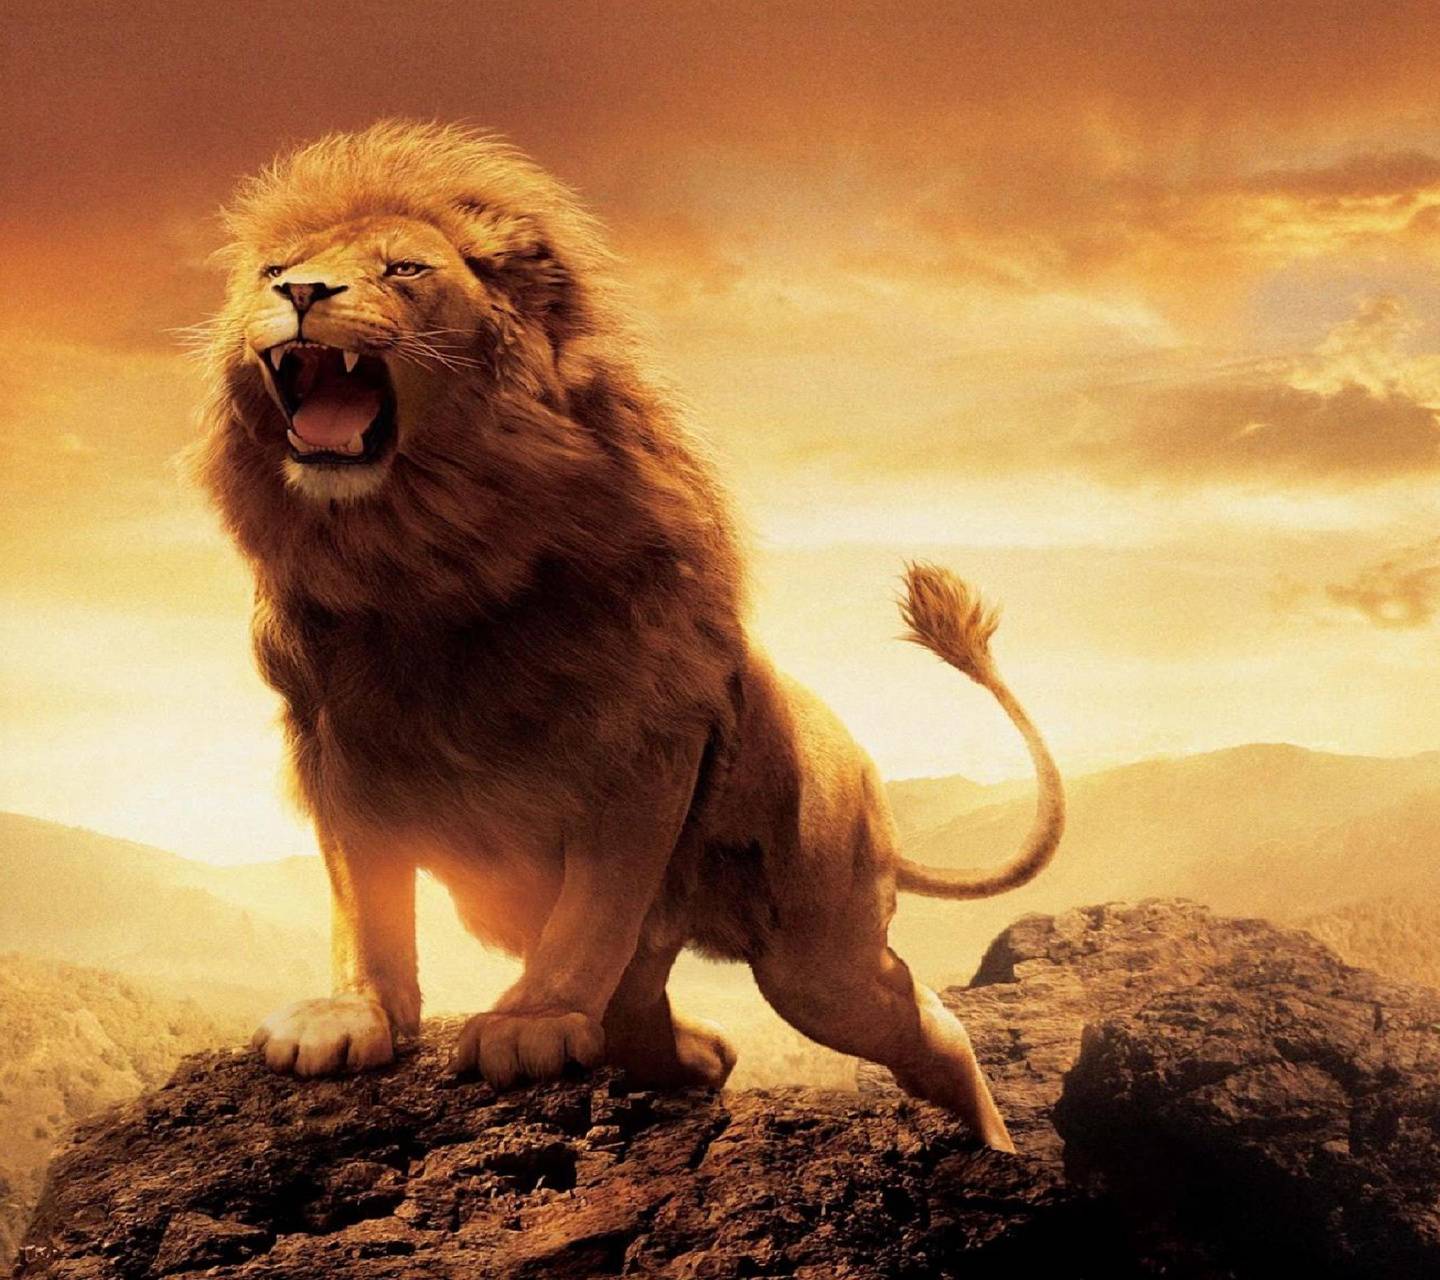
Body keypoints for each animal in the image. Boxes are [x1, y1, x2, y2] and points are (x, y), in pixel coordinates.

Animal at [193, 121, 1064, 1152]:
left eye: (404, 269)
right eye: (274, 270)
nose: (301, 294)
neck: (420, 559)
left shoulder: (644, 740)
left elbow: (595, 908)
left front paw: (530, 1024)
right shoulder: (336, 741)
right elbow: (365, 900)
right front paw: (350, 1017)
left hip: (819, 953)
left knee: (924, 1024)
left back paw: (997, 1150)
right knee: (650, 1009)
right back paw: (699, 1054)